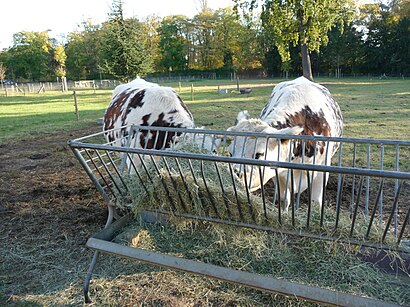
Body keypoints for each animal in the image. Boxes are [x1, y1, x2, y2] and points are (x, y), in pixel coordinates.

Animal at [227, 76, 342, 209]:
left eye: (259, 154)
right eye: (230, 153)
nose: (235, 175)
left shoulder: (321, 172)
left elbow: (316, 203)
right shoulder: (279, 174)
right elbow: (284, 199)